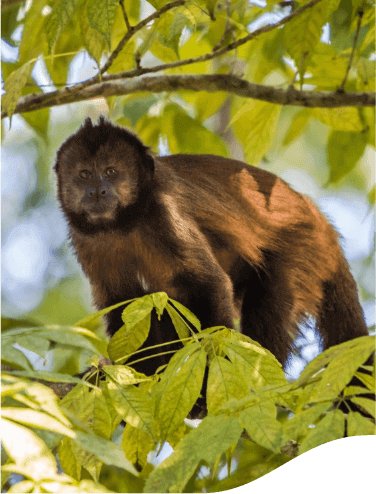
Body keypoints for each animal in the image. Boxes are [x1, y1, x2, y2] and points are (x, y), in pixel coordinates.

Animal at [54, 117, 374, 414]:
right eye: (84, 174)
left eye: (110, 172)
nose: (97, 191)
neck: (124, 223)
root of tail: (320, 221)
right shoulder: (85, 240)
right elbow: (124, 302)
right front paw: (135, 373)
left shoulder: (164, 214)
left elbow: (208, 284)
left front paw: (206, 387)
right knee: (162, 300)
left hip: (302, 246)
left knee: (268, 297)